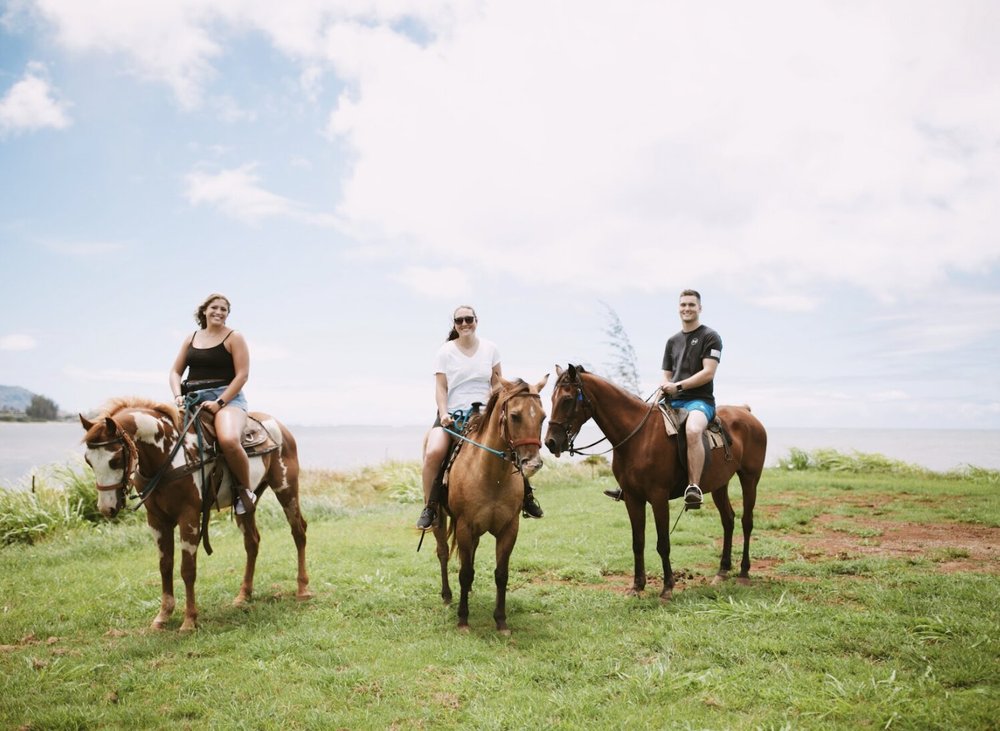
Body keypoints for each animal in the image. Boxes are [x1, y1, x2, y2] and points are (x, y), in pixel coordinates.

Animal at [79, 398, 308, 632]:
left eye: (115, 460)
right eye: (89, 461)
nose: (106, 508)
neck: (169, 455)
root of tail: (279, 426)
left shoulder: (188, 516)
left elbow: (187, 569)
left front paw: (189, 621)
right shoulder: (156, 520)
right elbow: (165, 566)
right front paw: (163, 616)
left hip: (286, 489)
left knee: (298, 532)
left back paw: (303, 590)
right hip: (245, 505)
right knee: (252, 542)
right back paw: (243, 596)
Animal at [428, 378, 548, 636]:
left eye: (543, 417)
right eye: (514, 416)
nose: (533, 463)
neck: (492, 476)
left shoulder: (509, 529)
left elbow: (501, 574)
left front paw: (501, 621)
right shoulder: (464, 526)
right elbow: (464, 573)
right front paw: (463, 620)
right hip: (440, 519)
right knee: (443, 552)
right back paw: (447, 595)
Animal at [548, 364, 764, 600]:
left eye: (567, 399)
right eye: (551, 398)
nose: (550, 442)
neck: (638, 436)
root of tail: (747, 413)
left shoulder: (659, 497)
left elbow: (663, 543)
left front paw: (667, 587)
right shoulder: (632, 499)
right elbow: (638, 542)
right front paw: (637, 586)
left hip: (750, 479)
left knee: (747, 522)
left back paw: (743, 572)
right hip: (719, 485)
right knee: (728, 520)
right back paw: (722, 571)